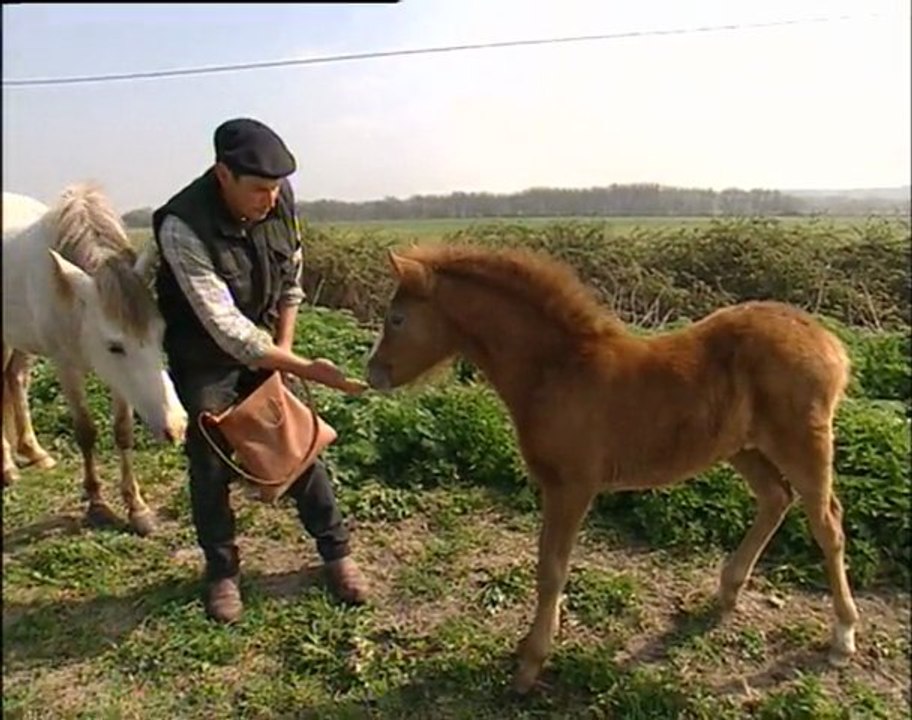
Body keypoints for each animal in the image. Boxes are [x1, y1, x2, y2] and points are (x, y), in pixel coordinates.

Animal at [2, 184, 188, 536]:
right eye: (114, 346)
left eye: (161, 333)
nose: (177, 426)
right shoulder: (66, 366)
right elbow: (86, 432)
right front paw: (97, 504)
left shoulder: (119, 381)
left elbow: (123, 431)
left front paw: (136, 507)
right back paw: (6, 467)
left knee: (15, 381)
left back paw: (35, 452)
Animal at [365, 244, 859, 694]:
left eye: (397, 319)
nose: (373, 374)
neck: (557, 369)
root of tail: (831, 344)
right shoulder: (556, 486)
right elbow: (547, 564)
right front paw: (529, 647)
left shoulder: (572, 486)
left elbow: (551, 569)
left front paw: (530, 666)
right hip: (743, 447)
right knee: (775, 498)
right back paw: (727, 592)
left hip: (803, 444)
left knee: (827, 523)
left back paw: (843, 635)